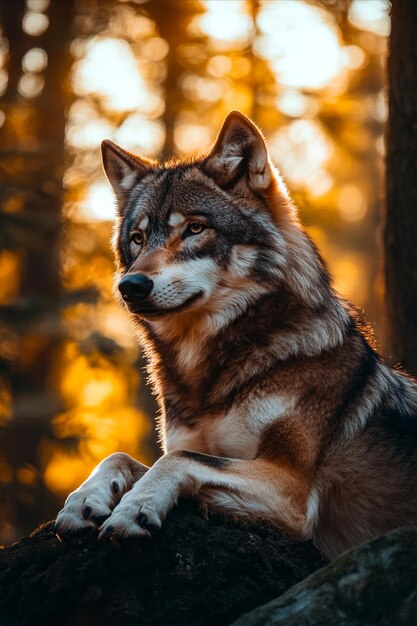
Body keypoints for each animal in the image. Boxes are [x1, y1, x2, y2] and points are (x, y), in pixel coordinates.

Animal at [53, 111, 416, 556]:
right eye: (137, 239)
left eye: (195, 229)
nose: (131, 286)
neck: (208, 378)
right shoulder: (194, 444)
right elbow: (122, 456)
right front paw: (83, 500)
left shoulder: (290, 487)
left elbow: (176, 461)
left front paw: (134, 509)